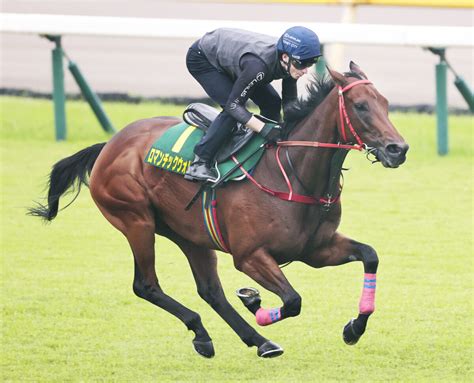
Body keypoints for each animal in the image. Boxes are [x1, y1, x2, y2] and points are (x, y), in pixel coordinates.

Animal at [29, 63, 408, 360]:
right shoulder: (250, 255)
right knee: (146, 285)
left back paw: (257, 341)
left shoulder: (316, 249)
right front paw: (254, 301)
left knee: (210, 291)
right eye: (361, 106)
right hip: (136, 220)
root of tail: (110, 144)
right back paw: (206, 332)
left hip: (190, 235)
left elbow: (370, 256)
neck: (292, 172)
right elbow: (293, 300)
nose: (398, 149)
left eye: (386, 104)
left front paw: (354, 328)